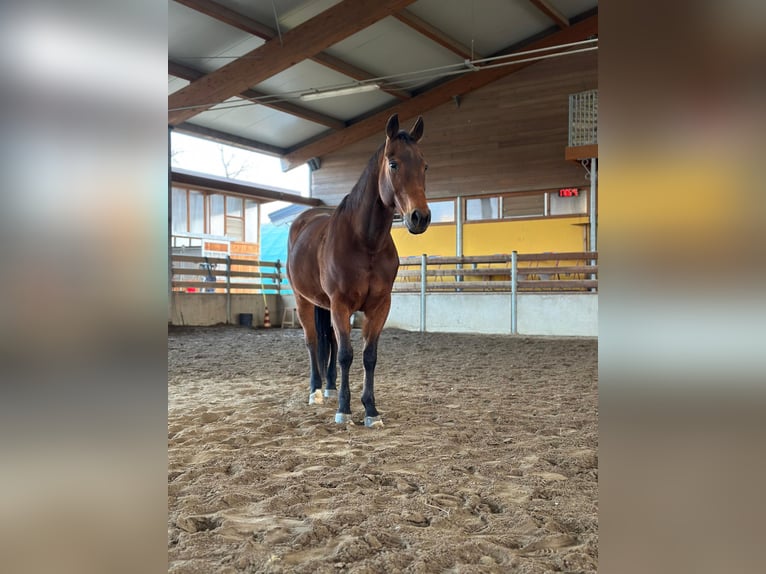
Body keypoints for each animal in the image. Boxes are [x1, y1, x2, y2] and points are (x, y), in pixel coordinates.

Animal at [286, 114, 431, 427]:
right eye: (393, 163)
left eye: (424, 165)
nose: (420, 217)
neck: (366, 242)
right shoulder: (341, 304)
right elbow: (345, 355)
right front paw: (344, 409)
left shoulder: (379, 306)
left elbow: (368, 356)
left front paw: (371, 410)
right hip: (304, 301)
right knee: (313, 342)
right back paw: (316, 391)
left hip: (325, 306)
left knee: (327, 339)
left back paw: (329, 387)